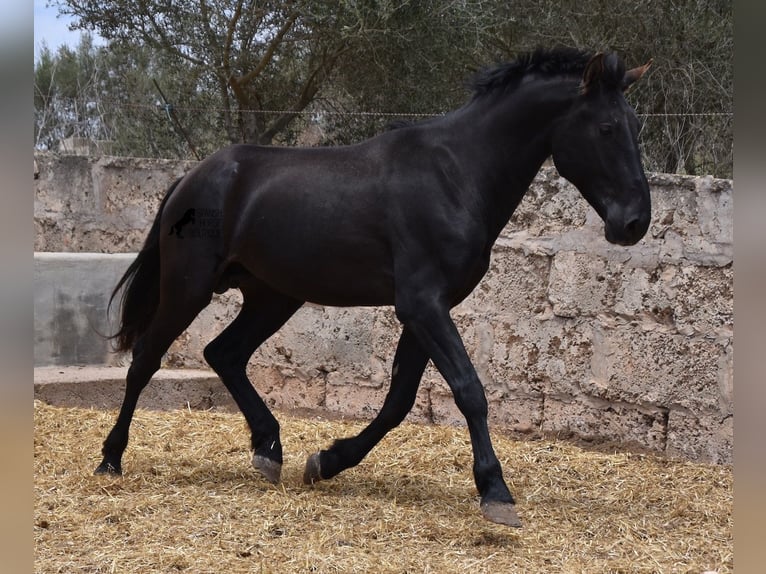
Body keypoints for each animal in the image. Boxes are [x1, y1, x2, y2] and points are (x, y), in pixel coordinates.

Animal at [96, 49, 656, 532]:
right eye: (606, 128)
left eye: (635, 127)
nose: (634, 223)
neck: (455, 175)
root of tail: (191, 178)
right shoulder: (422, 304)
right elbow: (468, 390)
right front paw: (496, 493)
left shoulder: (428, 309)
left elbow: (399, 402)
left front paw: (326, 461)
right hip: (189, 287)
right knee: (146, 358)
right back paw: (110, 459)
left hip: (273, 297)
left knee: (224, 353)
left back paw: (269, 450)